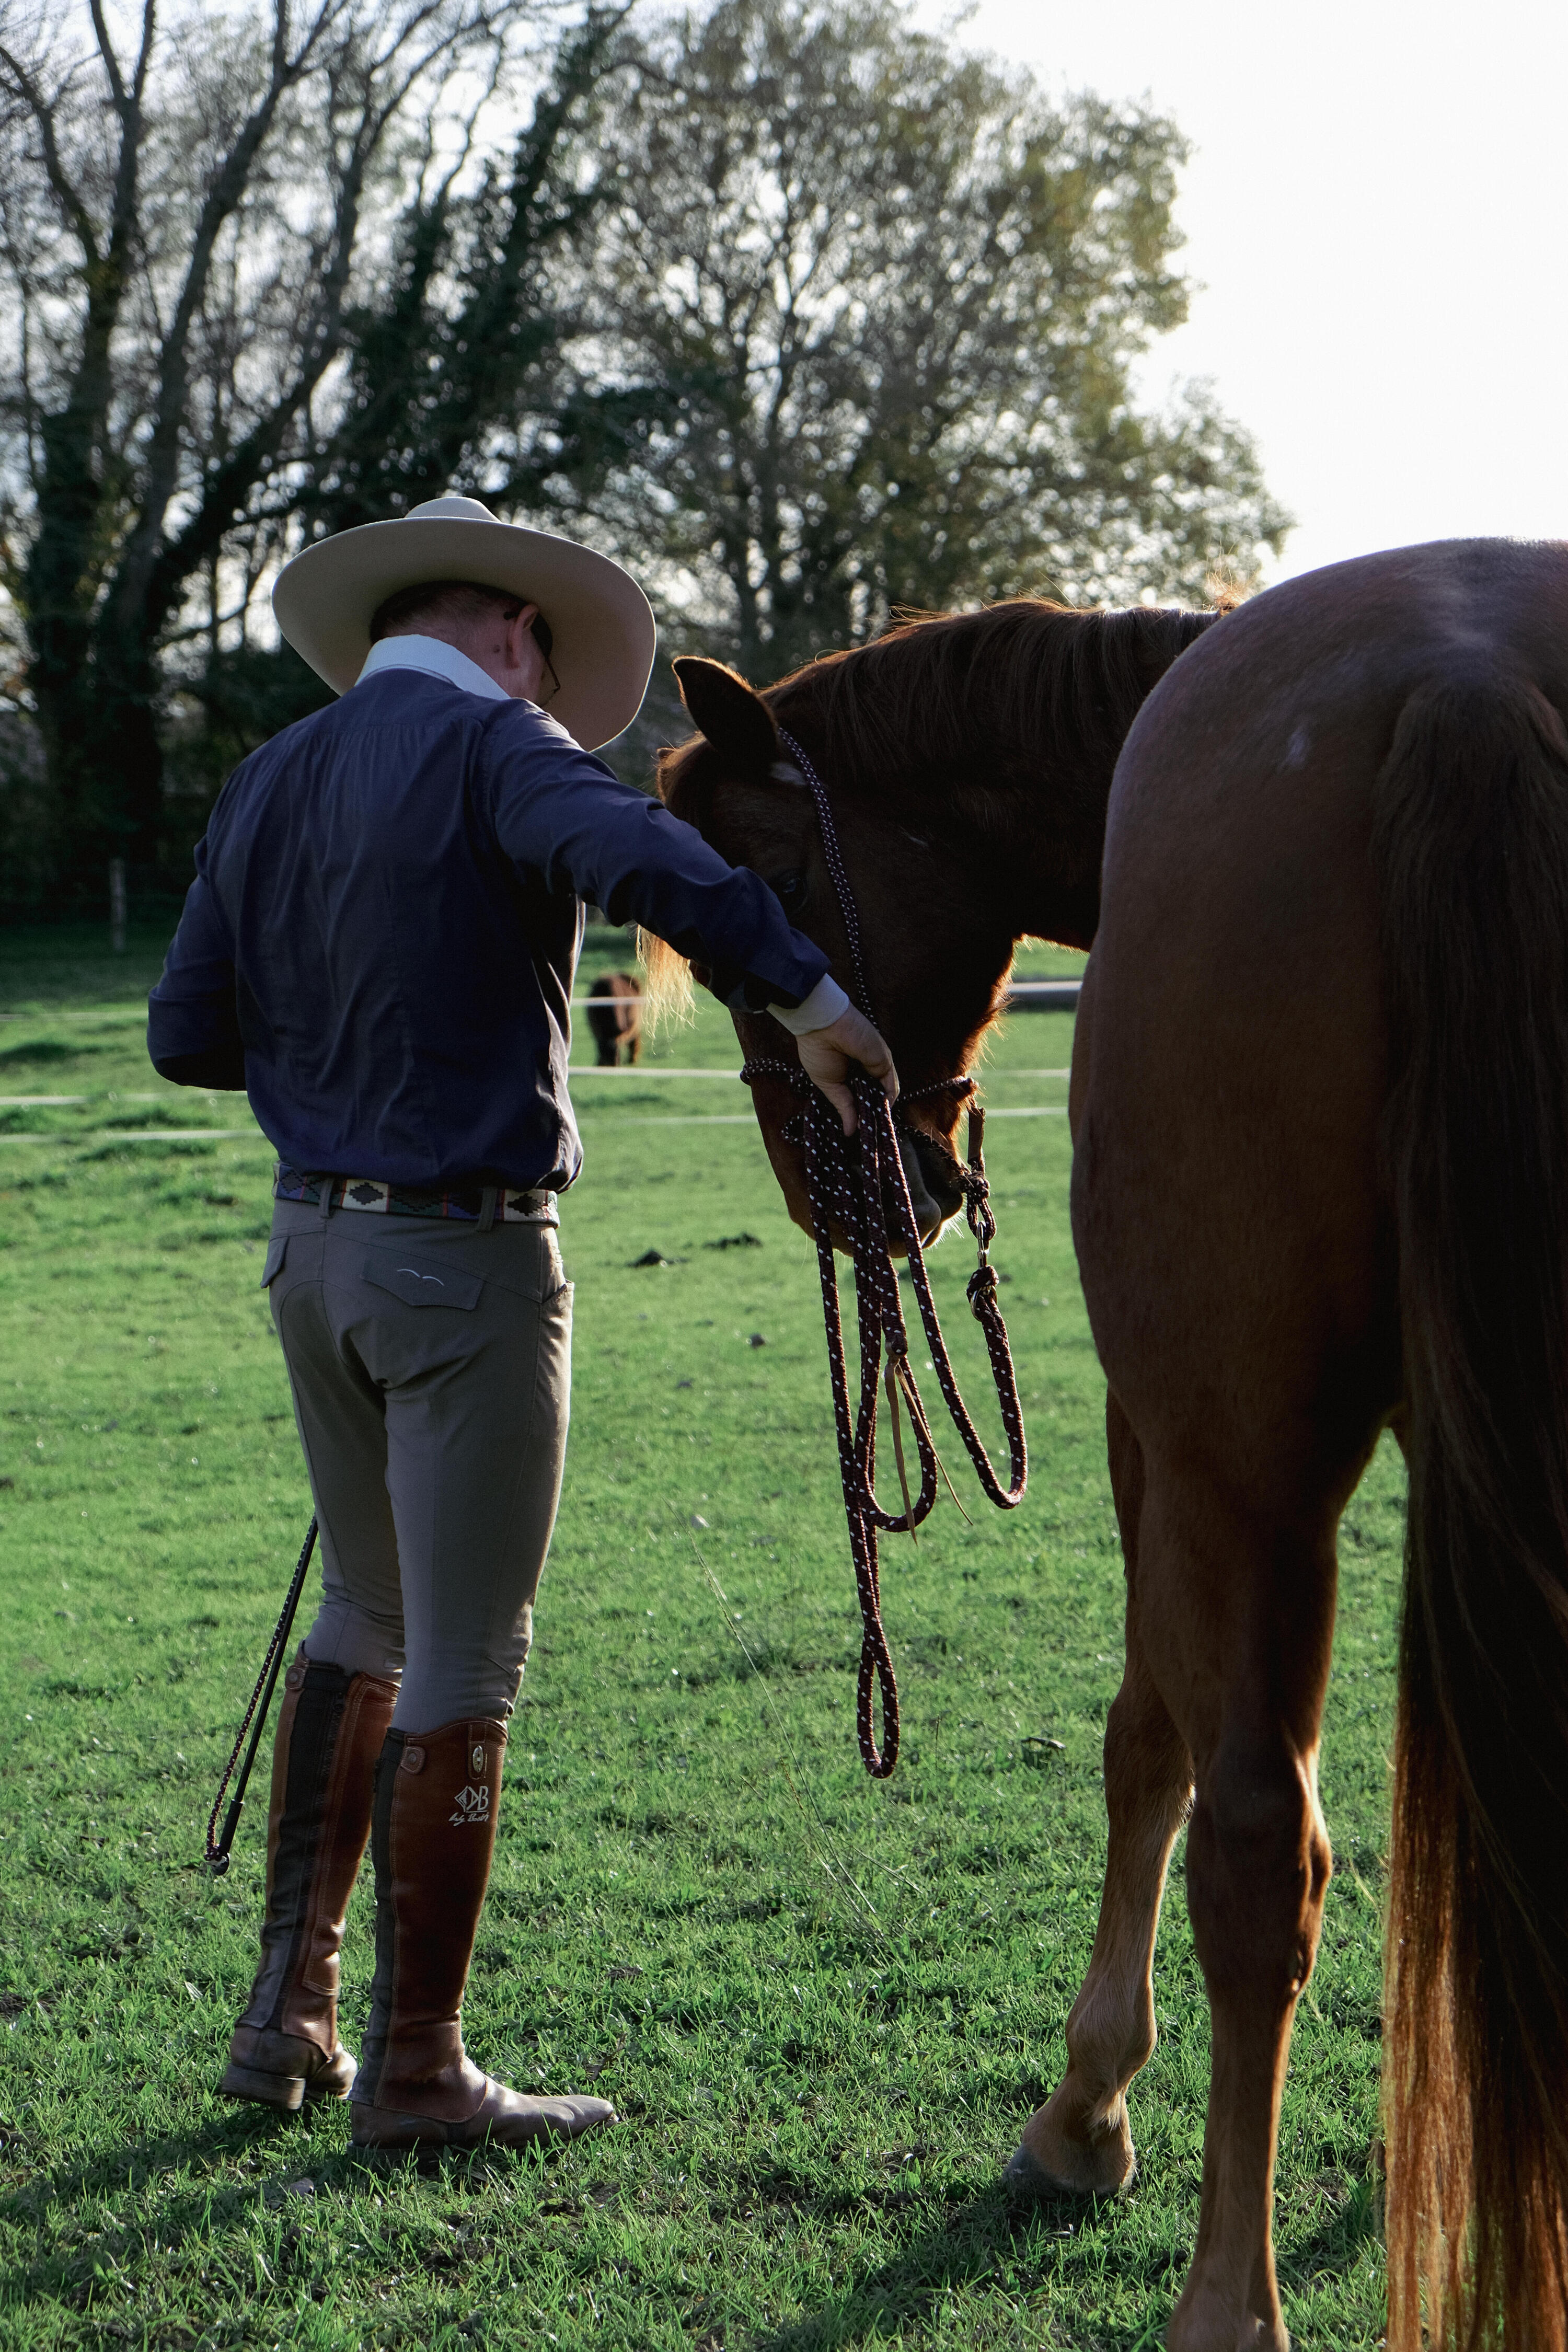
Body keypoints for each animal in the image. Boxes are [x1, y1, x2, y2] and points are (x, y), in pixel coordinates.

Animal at [585, 970, 643, 1066]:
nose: (613, 1065)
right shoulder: (598, 1032)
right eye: (603, 1050)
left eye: (618, 1049)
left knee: (635, 1041)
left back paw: (632, 1059)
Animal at [650, 548, 1568, 2352]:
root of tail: (1460, 680)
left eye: (751, 917)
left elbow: (1145, 1742)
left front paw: (1087, 2108)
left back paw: (1225, 2297)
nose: (854, 1196)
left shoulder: (1162, 1439)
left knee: (1257, 1852)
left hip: (1240, 1466)